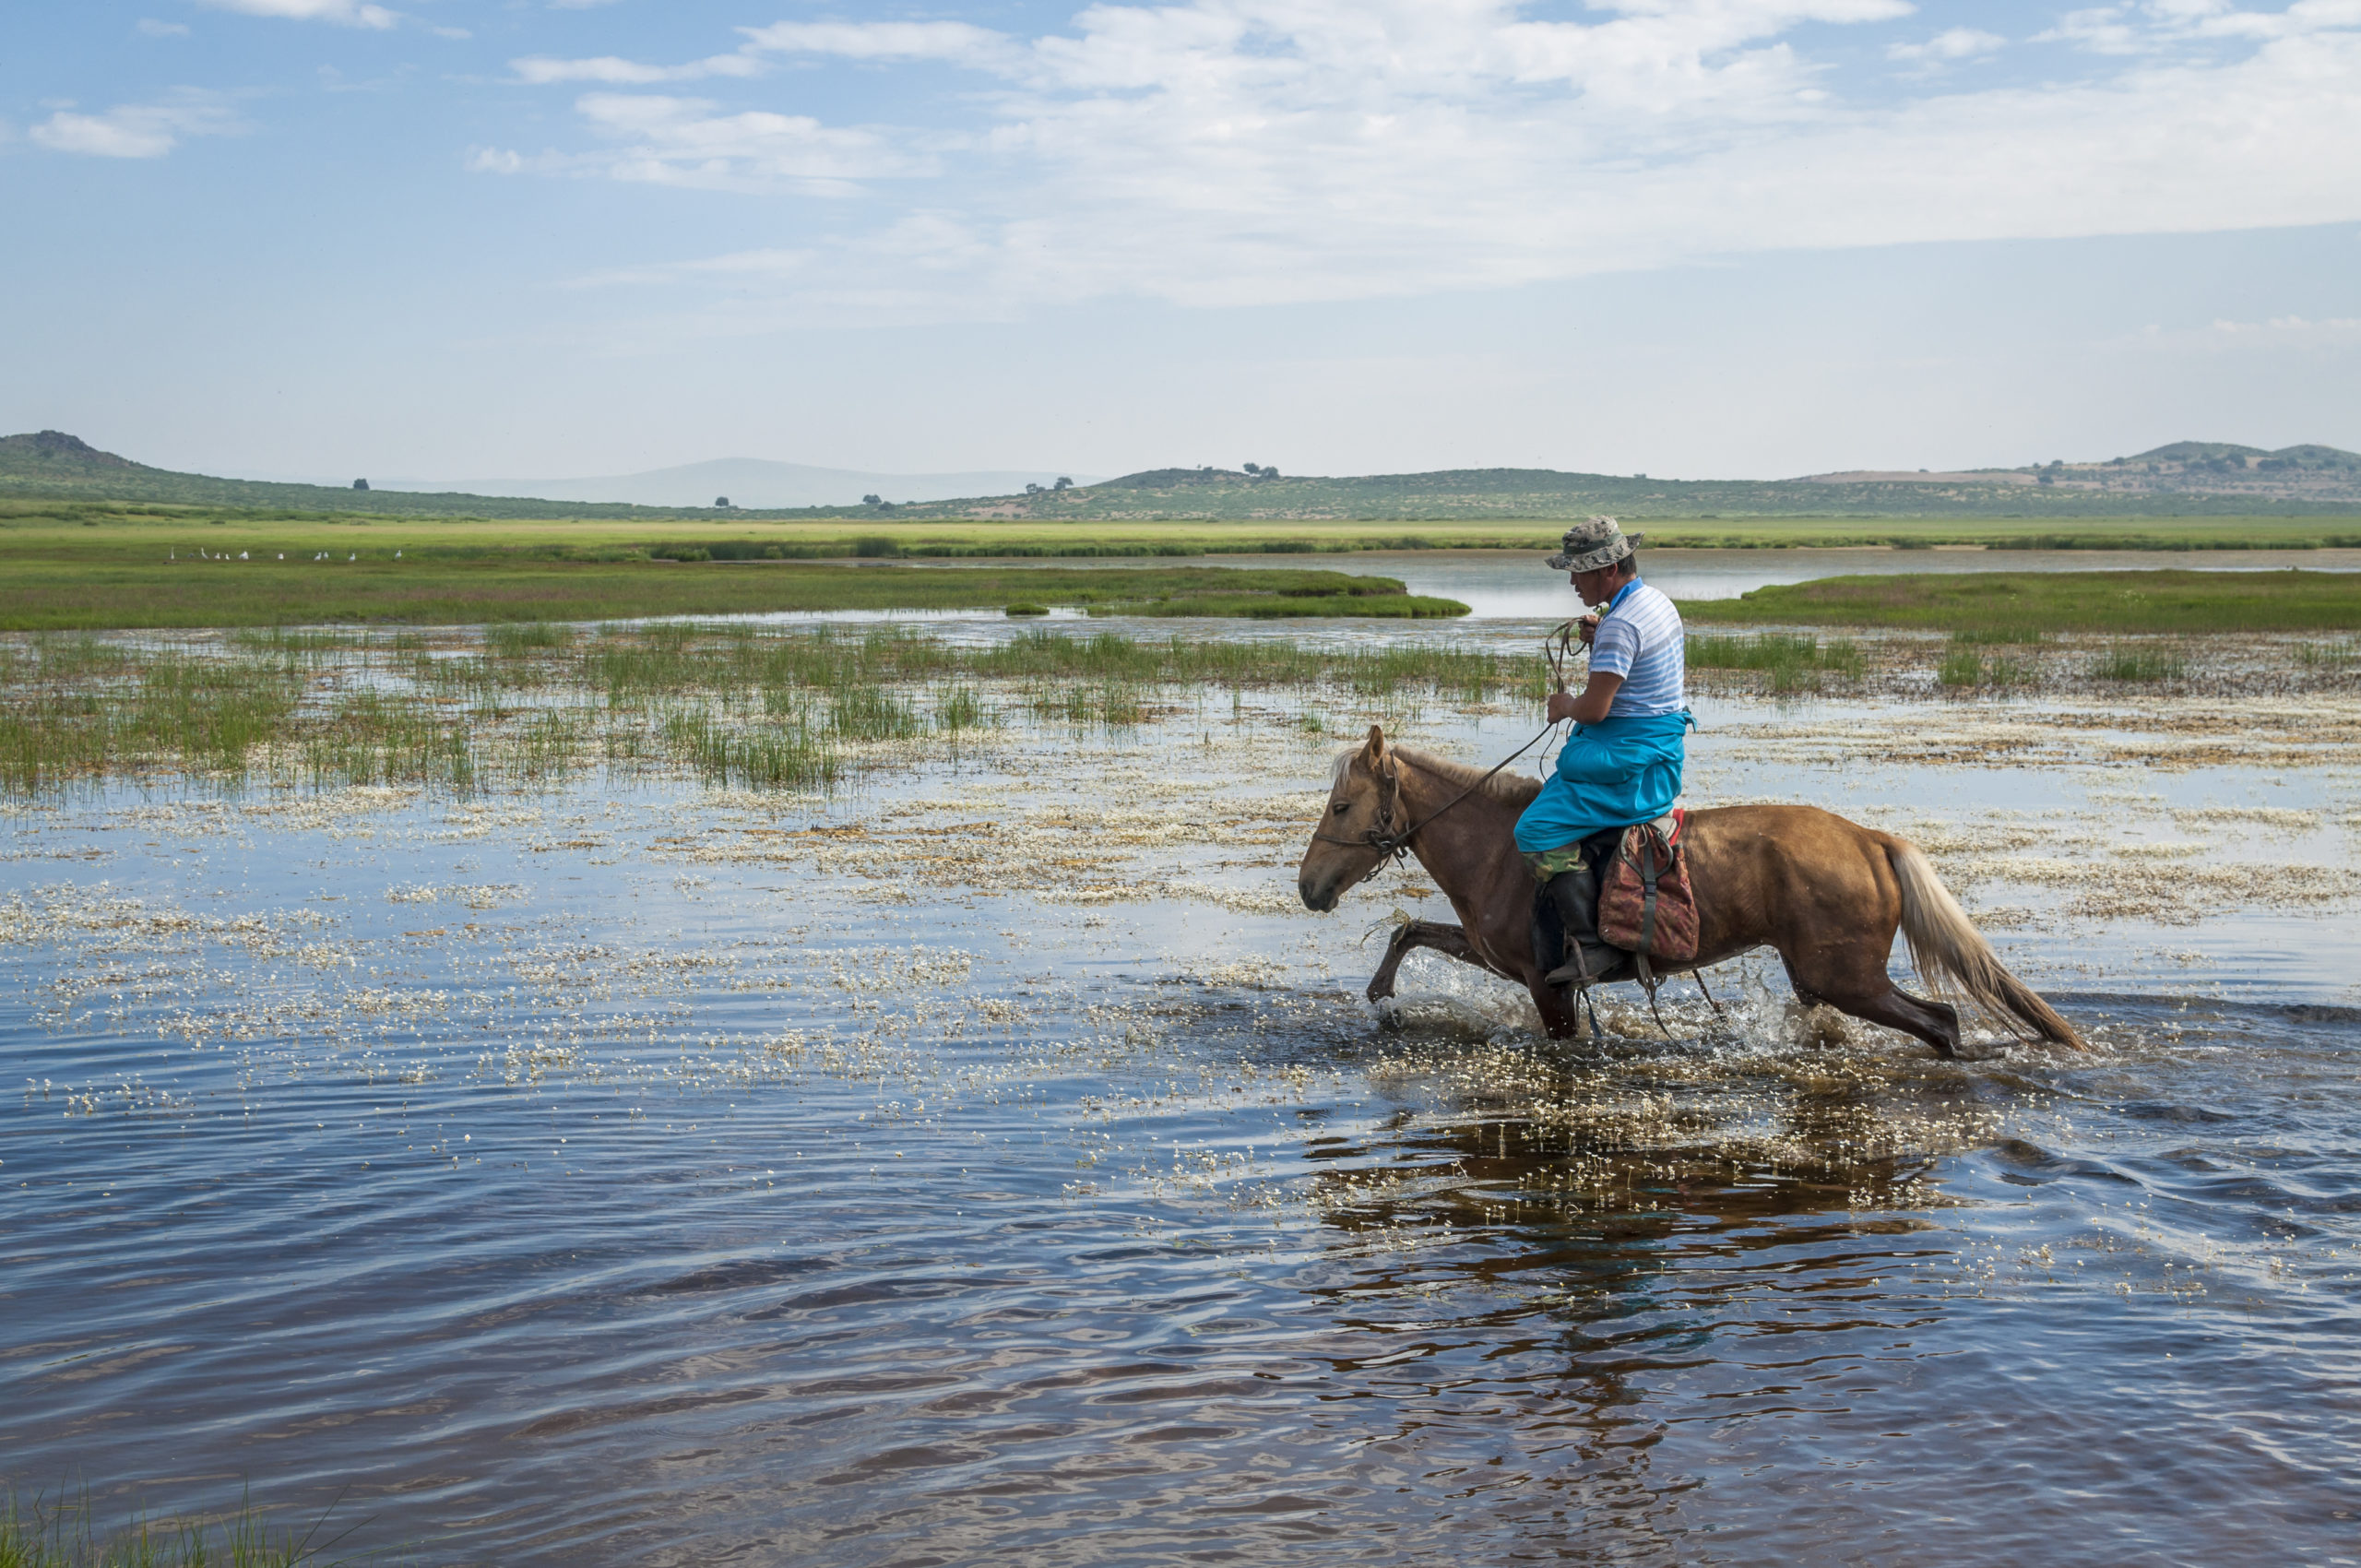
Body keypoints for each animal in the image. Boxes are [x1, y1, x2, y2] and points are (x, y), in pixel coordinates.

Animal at [1293, 727, 2087, 1057]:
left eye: (1341, 807)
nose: (1308, 887)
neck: (1494, 846)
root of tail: (1869, 840)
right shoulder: (1496, 956)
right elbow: (1410, 930)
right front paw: (1382, 998)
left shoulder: (1549, 986)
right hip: (1822, 979)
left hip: (1849, 978)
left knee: (1942, 1022)